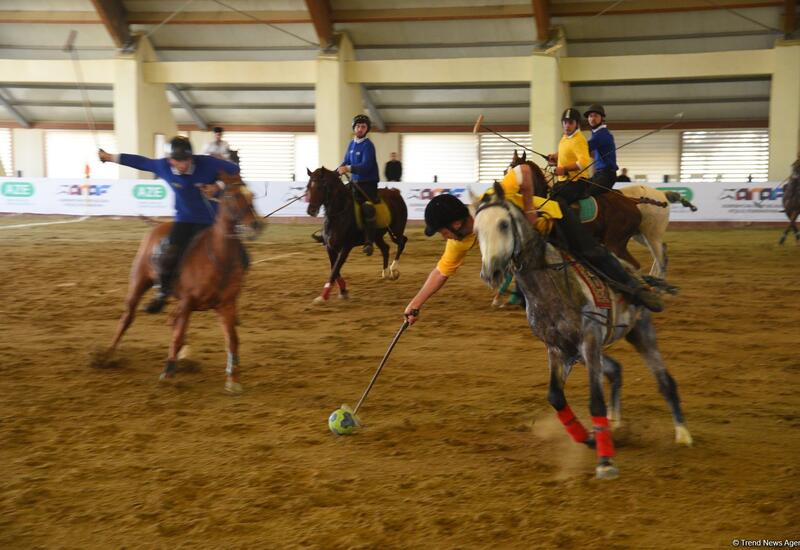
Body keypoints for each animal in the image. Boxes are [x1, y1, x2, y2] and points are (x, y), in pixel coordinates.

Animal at [99, 172, 262, 392]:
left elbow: (232, 340)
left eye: (251, 195)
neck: (218, 257)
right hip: (139, 282)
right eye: (232, 196)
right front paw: (167, 373)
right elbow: (177, 336)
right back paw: (107, 355)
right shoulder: (187, 302)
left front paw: (233, 380)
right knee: (128, 317)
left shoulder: (226, 305)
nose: (256, 226)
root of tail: (157, 226)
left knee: (172, 320)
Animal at [304, 168, 410, 306]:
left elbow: (335, 269)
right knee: (385, 248)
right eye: (308, 187)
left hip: (396, 229)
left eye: (320, 187)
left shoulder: (345, 247)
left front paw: (323, 296)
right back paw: (385, 272)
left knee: (402, 242)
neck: (340, 214)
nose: (311, 210)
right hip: (377, 235)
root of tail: (395, 192)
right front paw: (343, 291)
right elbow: (334, 269)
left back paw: (393, 270)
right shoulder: (330, 247)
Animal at [472, 183, 692, 480]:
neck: (549, 288)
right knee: (617, 370)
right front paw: (589, 438)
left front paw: (606, 462)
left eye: (504, 224)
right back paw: (615, 423)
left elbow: (595, 401)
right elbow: (555, 397)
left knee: (665, 381)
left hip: (640, 331)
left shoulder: (589, 340)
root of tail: (637, 276)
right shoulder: (557, 349)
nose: (491, 272)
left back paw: (682, 434)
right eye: (476, 230)